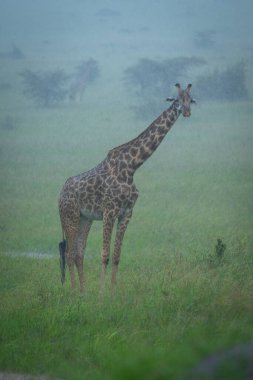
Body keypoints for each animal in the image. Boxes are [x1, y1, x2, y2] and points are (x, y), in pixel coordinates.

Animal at [58, 83, 195, 290]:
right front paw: (101, 293)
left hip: (85, 219)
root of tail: (59, 194)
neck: (132, 166)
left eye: (190, 99)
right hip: (70, 216)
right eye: (177, 99)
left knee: (78, 253)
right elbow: (104, 254)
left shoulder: (127, 213)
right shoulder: (109, 211)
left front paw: (113, 292)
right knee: (69, 253)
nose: (186, 112)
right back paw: (74, 292)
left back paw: (83, 292)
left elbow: (116, 256)